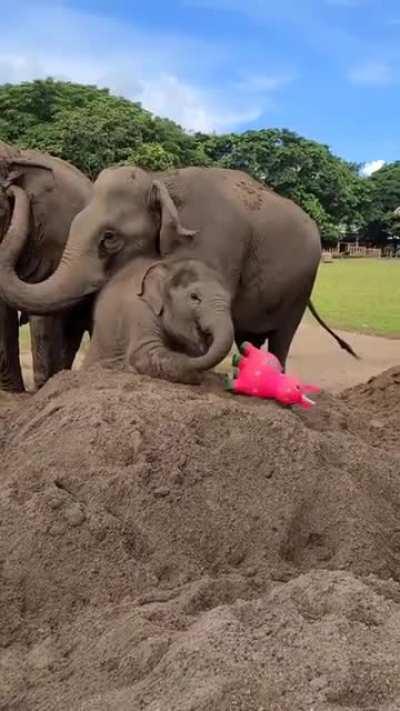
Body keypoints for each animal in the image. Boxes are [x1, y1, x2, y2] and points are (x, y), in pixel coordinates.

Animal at [0, 164, 357, 370]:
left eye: (109, 238)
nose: (11, 185)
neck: (161, 181)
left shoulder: (214, 242)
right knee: (250, 338)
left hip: (301, 287)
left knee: (283, 336)